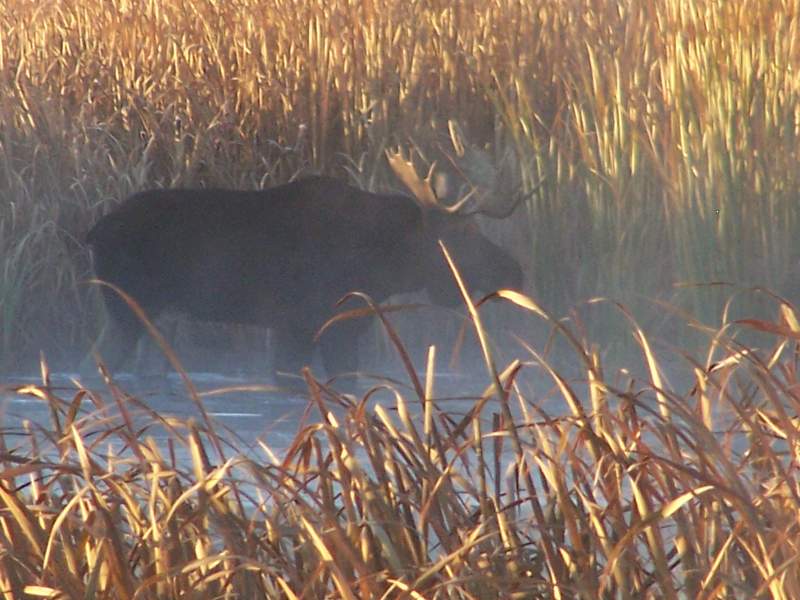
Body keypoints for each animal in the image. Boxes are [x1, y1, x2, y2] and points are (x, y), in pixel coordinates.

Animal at [86, 142, 524, 378]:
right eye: (464, 233)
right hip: (129, 306)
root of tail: (94, 232)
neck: (382, 265)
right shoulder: (307, 324)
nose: (514, 270)